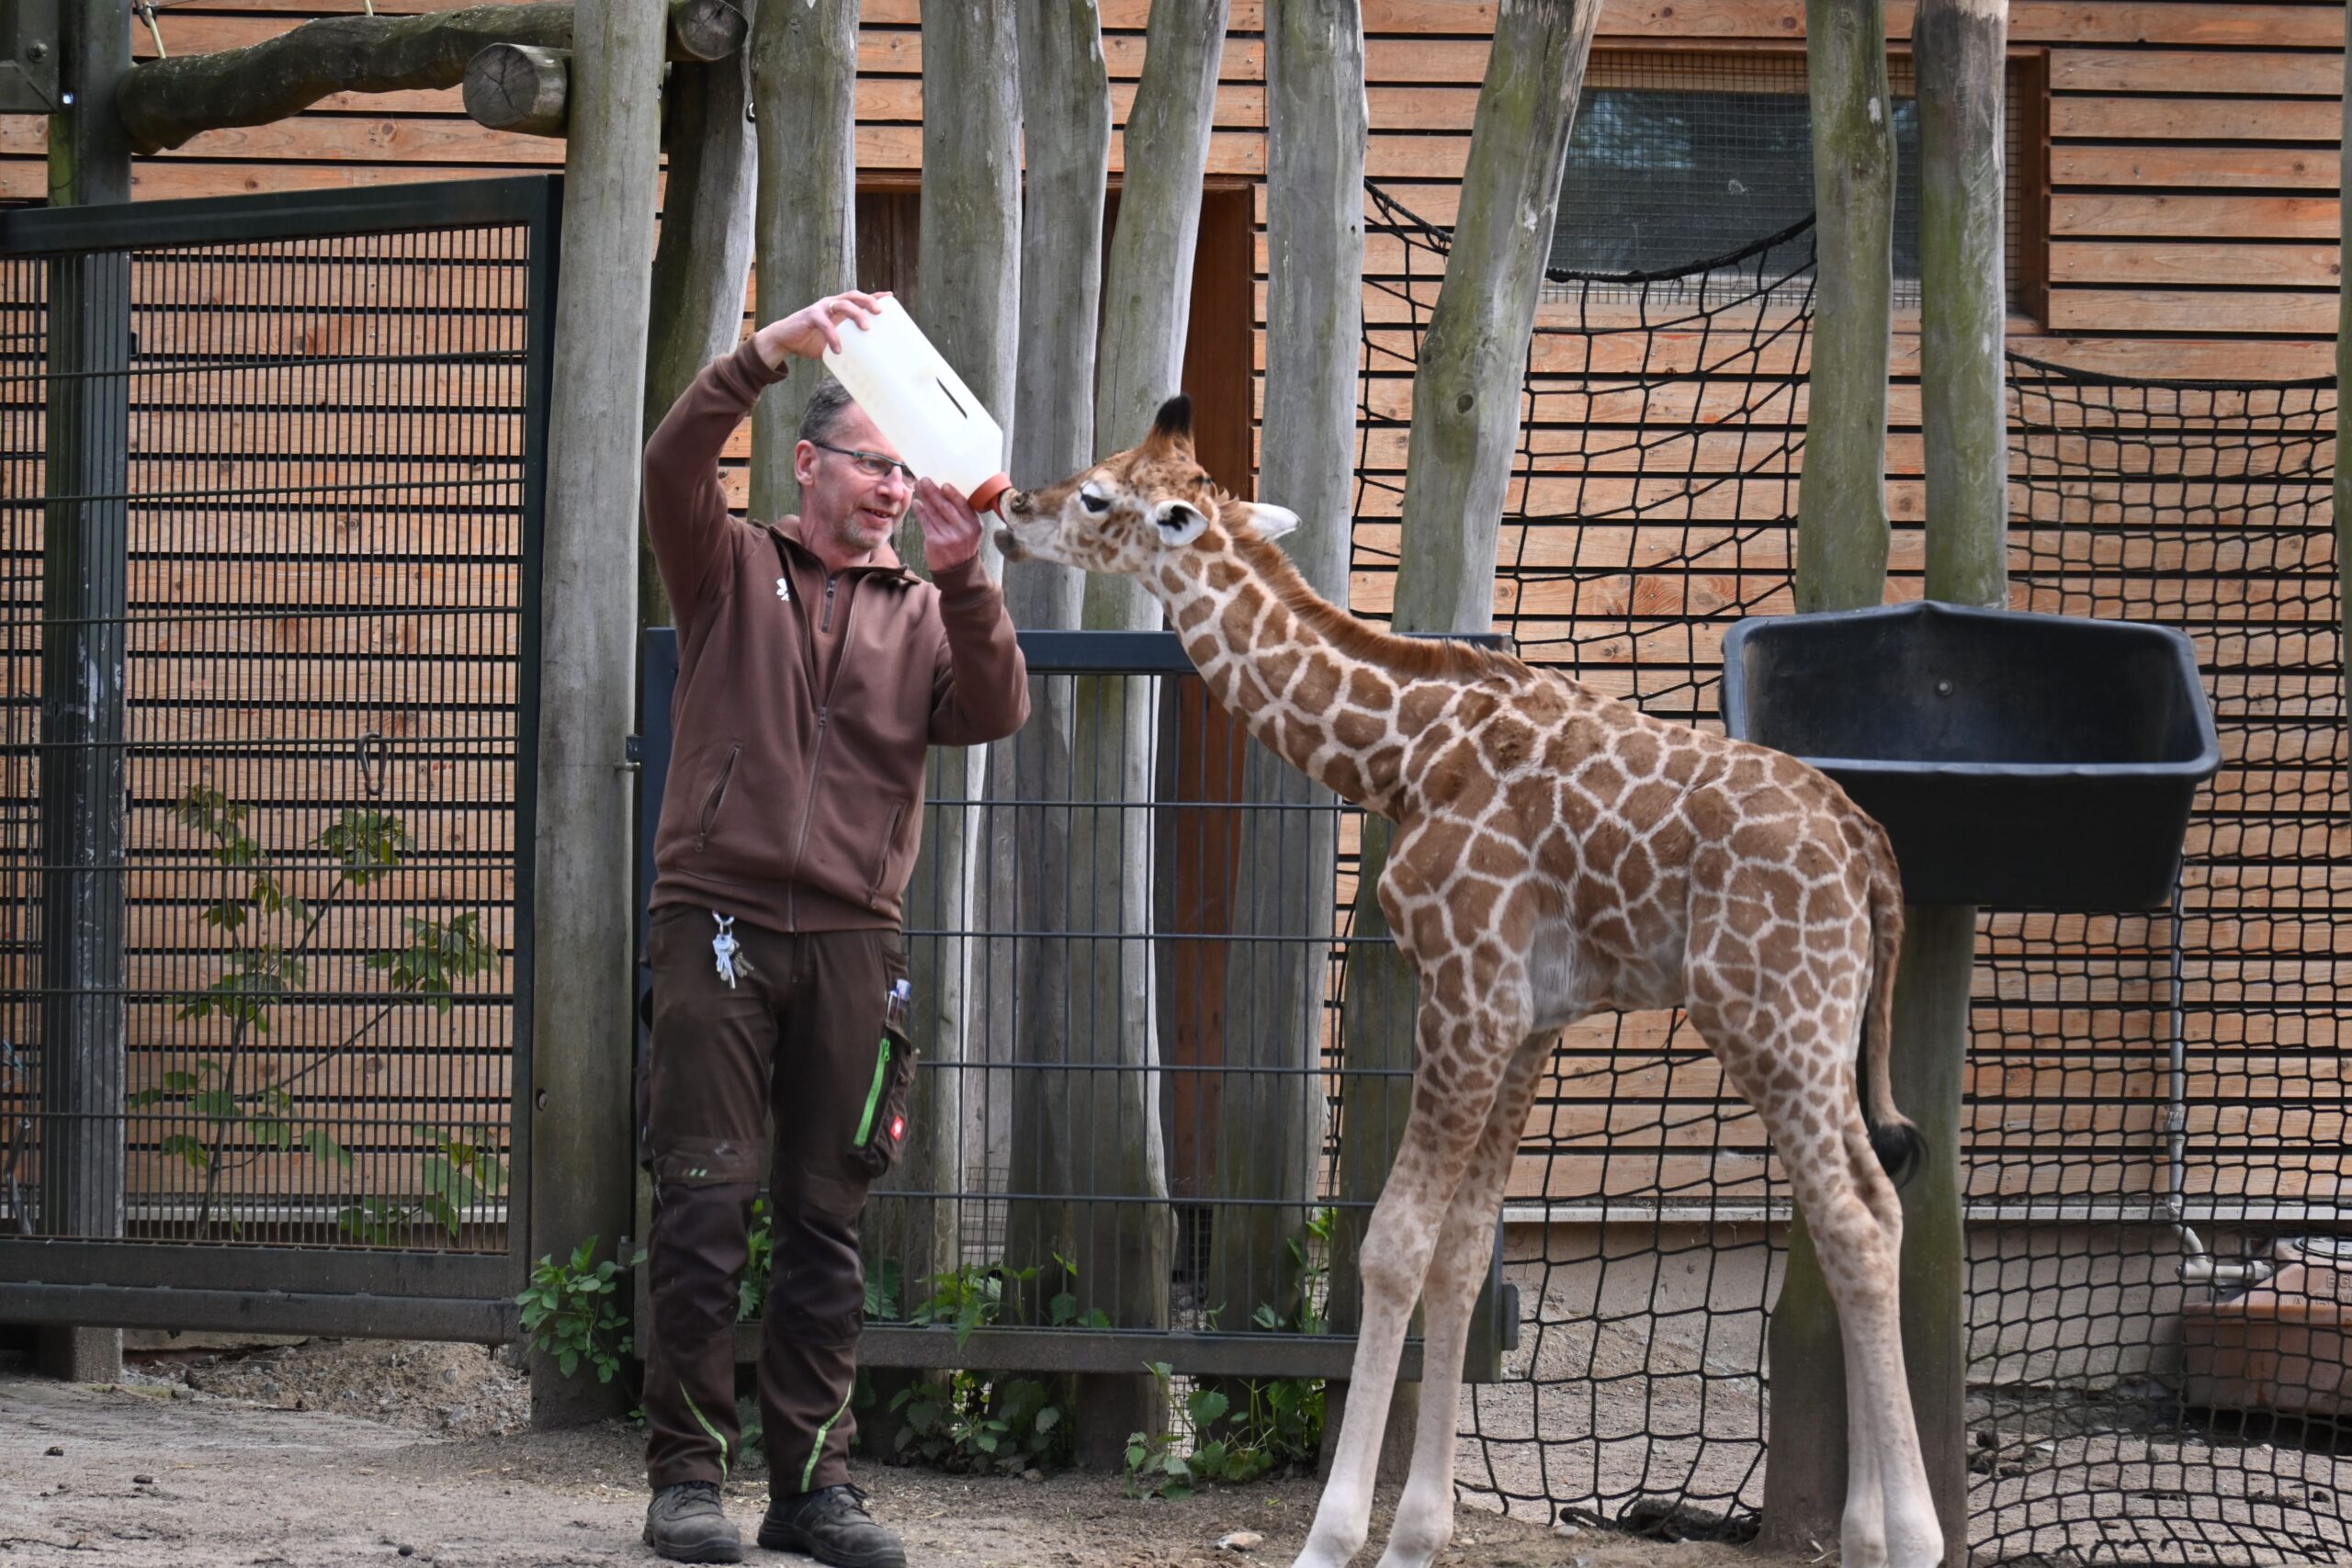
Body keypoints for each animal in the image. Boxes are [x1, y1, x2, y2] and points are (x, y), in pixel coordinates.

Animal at [992, 396, 1945, 1568]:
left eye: (1095, 495)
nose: (1010, 510)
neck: (1401, 751)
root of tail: (1868, 849)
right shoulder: (1528, 1018)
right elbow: (1457, 1252)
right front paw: (1416, 1531)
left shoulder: (1466, 992)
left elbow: (1392, 1247)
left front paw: (1331, 1535)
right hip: (1817, 1026)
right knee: (1872, 1207)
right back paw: (1866, 1533)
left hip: (1770, 1020)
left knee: (1852, 1222)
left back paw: (1916, 1537)